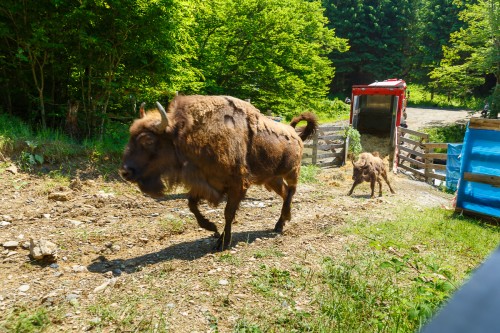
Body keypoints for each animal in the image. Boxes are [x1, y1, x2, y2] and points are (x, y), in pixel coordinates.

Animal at [119, 95, 318, 249]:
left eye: (148, 140)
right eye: (130, 134)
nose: (125, 172)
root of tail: (295, 134)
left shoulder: (237, 186)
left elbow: (228, 213)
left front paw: (222, 242)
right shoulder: (207, 184)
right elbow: (192, 205)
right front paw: (212, 229)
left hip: (291, 172)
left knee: (291, 191)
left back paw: (282, 221)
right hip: (272, 179)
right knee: (285, 193)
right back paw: (280, 224)